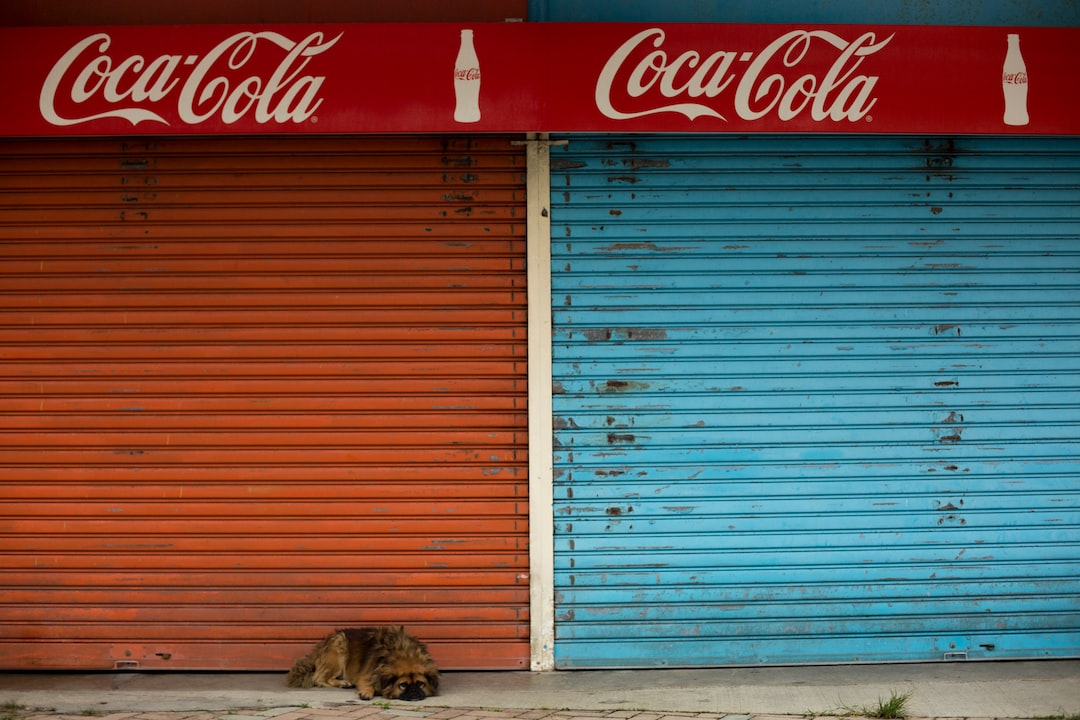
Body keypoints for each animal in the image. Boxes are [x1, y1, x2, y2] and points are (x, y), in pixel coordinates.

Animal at [287, 626, 438, 703]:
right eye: (403, 685)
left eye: (420, 684)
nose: (414, 691)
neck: (404, 653)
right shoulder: (367, 673)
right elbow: (367, 683)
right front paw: (366, 692)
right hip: (339, 648)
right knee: (319, 678)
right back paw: (343, 683)